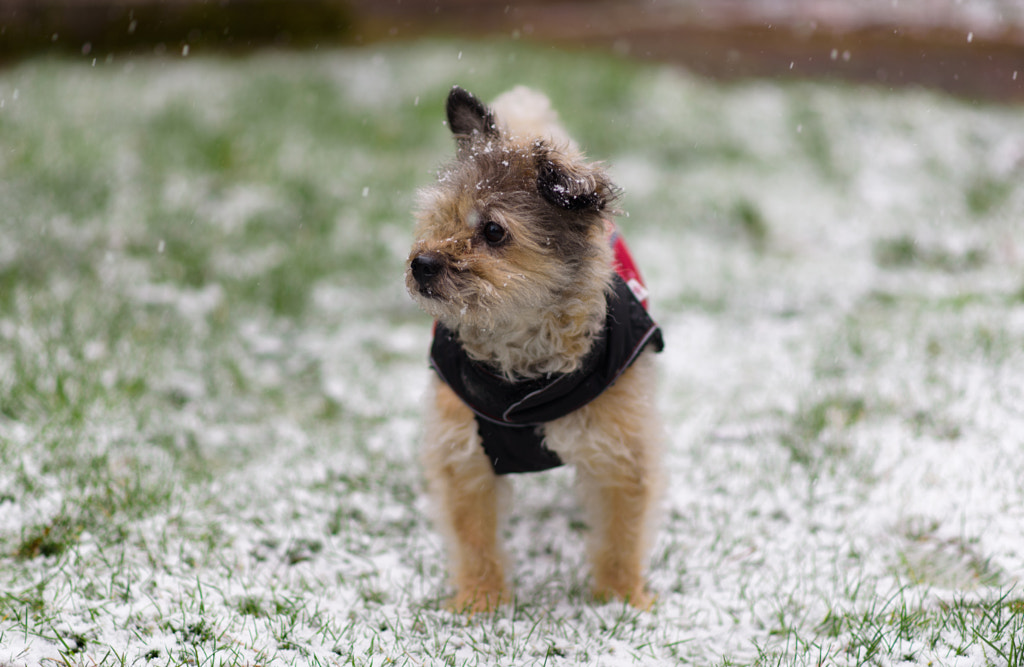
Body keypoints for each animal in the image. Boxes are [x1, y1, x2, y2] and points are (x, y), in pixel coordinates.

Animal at [403, 86, 667, 614]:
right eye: (439, 217)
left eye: (494, 231)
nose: (421, 264)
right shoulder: (462, 453)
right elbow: (473, 537)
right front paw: (481, 601)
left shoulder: (623, 448)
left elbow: (622, 534)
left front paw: (621, 599)